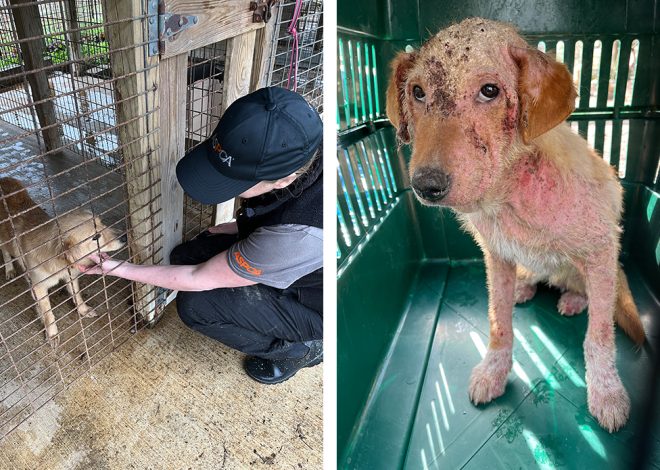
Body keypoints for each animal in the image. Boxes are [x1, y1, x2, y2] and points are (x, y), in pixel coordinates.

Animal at [0, 178, 126, 346]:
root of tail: (4, 179)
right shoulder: (39, 287)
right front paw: (52, 333)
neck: (60, 261)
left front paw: (83, 310)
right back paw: (9, 269)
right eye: (95, 237)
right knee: (6, 253)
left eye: (102, 223)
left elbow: (77, 295)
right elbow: (48, 313)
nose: (125, 236)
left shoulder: (71, 275)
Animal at [384, 18, 648, 432]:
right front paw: (493, 371)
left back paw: (575, 299)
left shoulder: (602, 249)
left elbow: (600, 336)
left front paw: (607, 393)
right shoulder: (496, 257)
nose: (426, 185)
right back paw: (526, 287)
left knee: (587, 293)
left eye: (490, 91)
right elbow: (498, 321)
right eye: (417, 92)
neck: (509, 196)